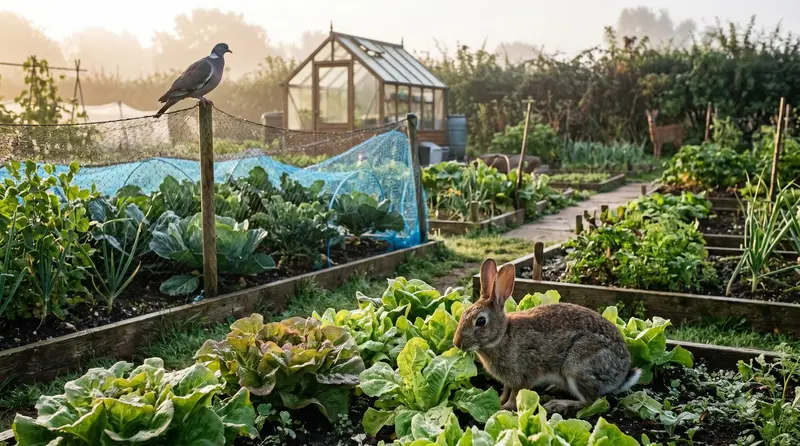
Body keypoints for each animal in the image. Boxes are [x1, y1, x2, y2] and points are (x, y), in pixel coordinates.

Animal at [452, 258, 641, 413]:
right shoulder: (508, 379)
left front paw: (505, 407)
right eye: (463, 315)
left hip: (578, 365)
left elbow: (516, 394)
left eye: (481, 321)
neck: (503, 335)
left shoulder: (525, 374)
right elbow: (506, 390)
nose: (456, 343)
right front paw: (499, 400)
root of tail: (621, 374)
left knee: (589, 401)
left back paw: (557, 404)